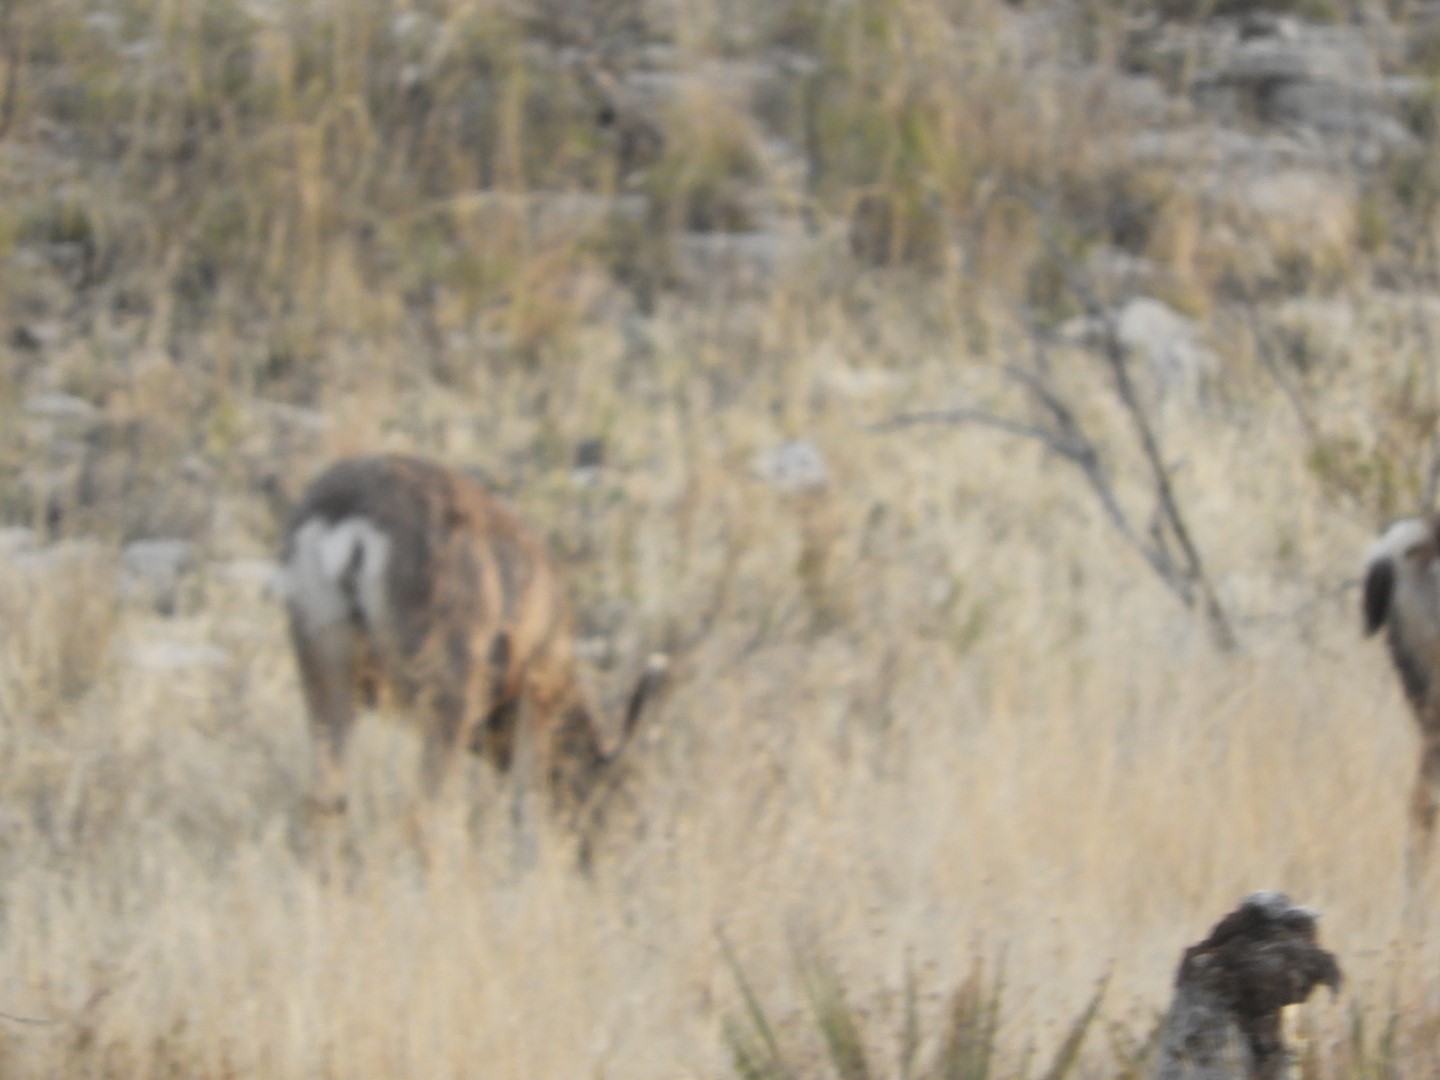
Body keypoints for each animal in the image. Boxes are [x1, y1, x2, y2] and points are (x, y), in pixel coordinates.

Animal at [277, 453, 668, 841]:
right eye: (614, 789)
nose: (601, 849)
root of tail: (350, 523)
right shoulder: (538, 687)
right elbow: (526, 799)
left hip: (322, 659)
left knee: (325, 800)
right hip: (447, 684)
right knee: (423, 811)